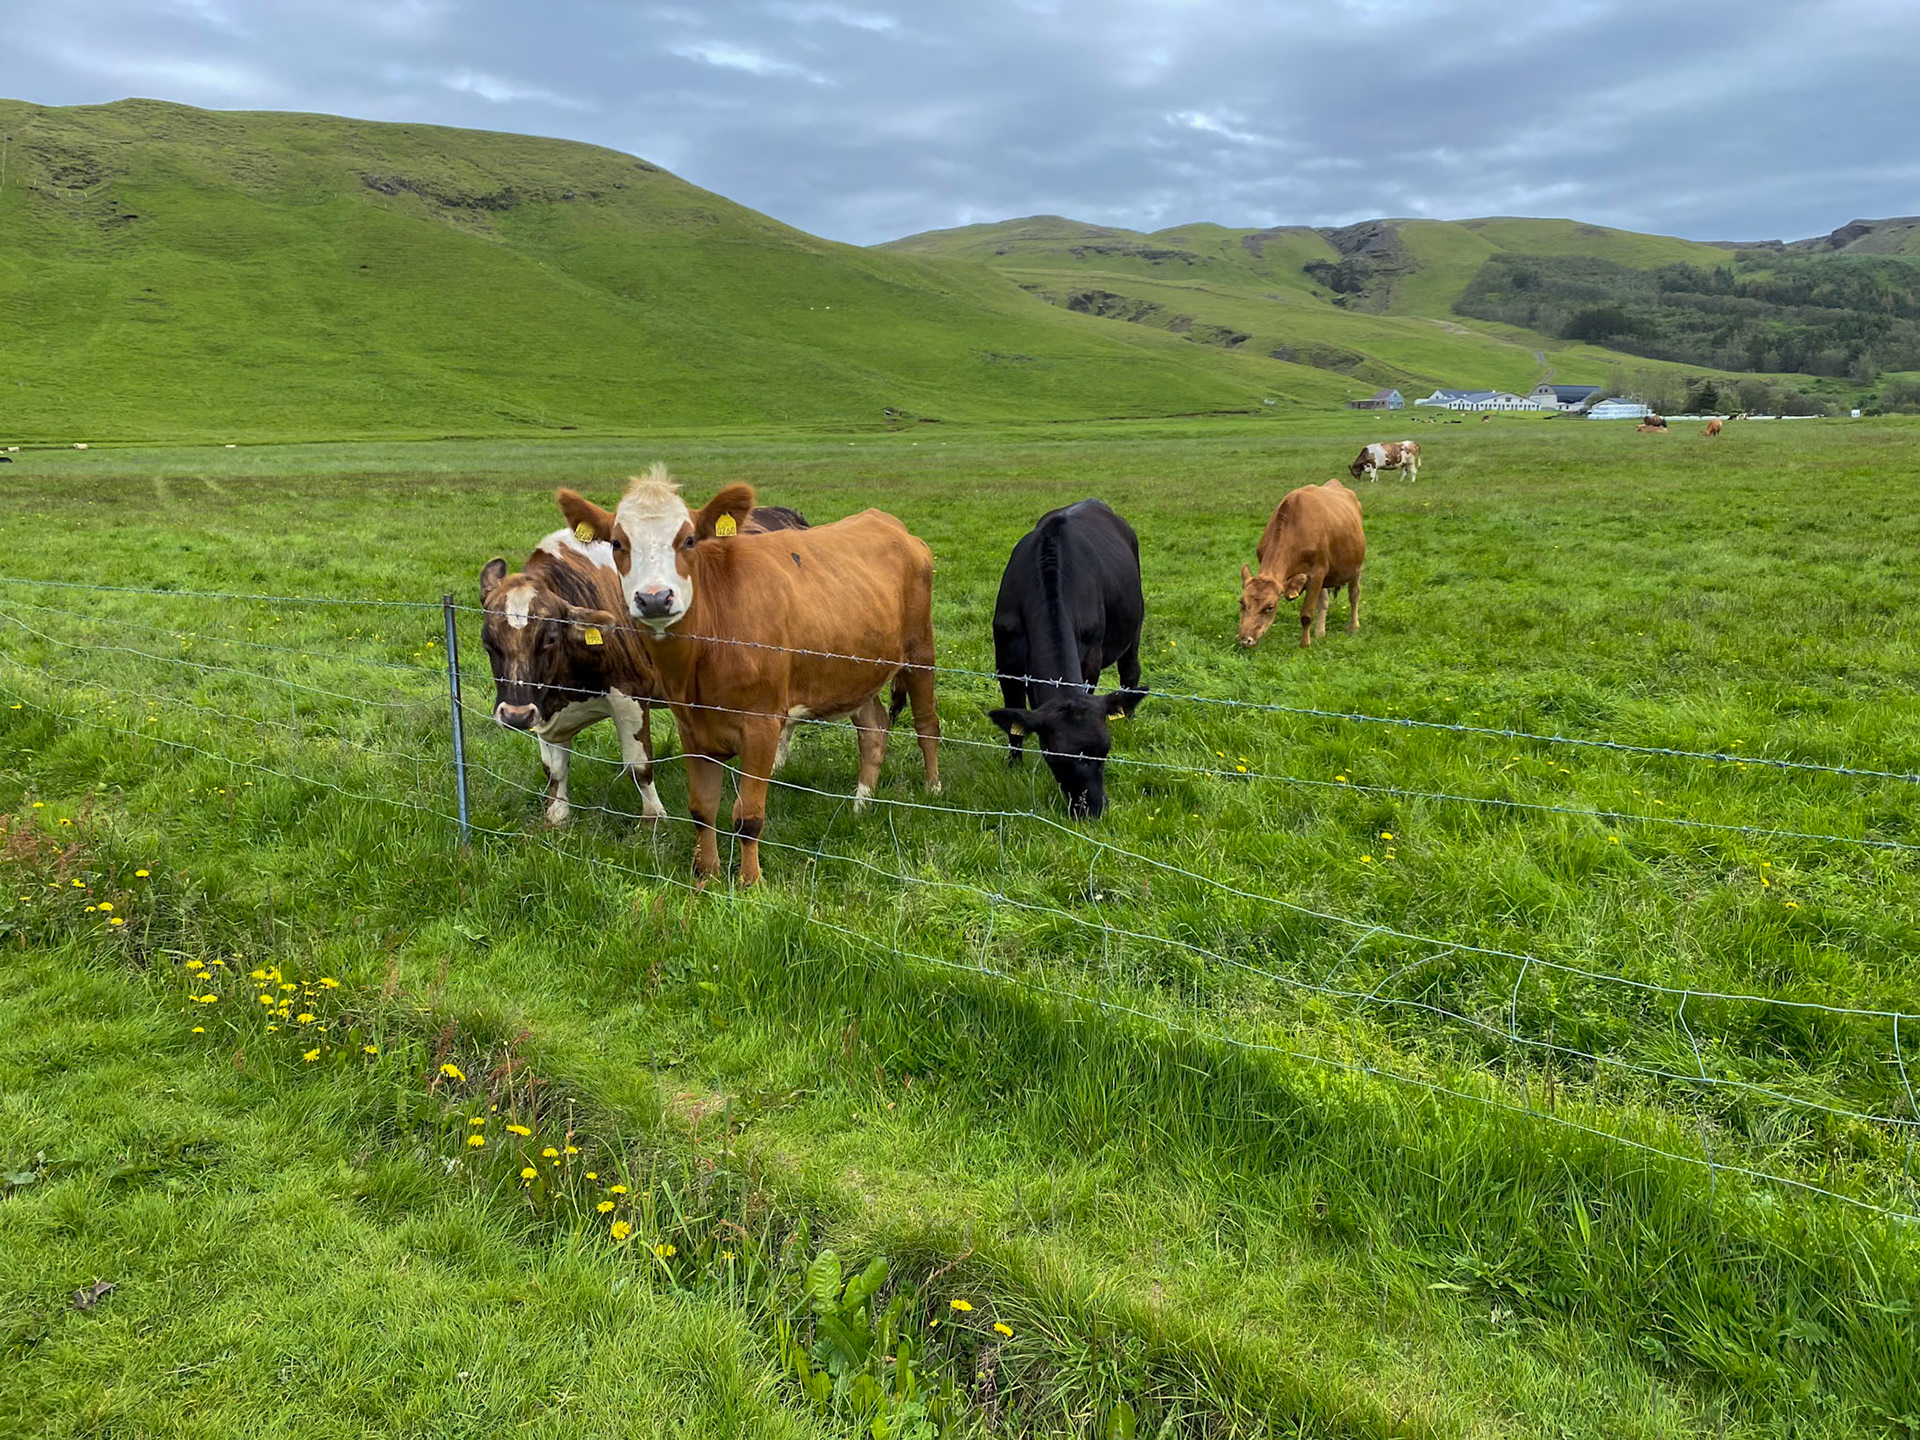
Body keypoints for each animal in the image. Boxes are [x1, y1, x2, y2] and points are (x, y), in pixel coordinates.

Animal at [479, 494, 808, 827]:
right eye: (487, 641)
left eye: (550, 638)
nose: (515, 715)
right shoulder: (545, 707)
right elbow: (554, 770)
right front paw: (557, 815)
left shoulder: (630, 694)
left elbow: (639, 766)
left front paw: (653, 817)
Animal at [558, 466, 939, 885]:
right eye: (617, 543)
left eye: (689, 539)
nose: (655, 598)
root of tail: (884, 520)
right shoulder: (692, 728)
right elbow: (702, 810)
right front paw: (705, 875)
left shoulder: (763, 726)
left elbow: (749, 816)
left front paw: (749, 881)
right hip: (856, 670)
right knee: (873, 728)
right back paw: (861, 803)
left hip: (920, 651)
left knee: (927, 723)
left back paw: (933, 788)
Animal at [986, 499, 1147, 820]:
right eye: (1056, 757)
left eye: (1105, 750)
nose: (1092, 808)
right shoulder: (1006, 661)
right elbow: (1014, 718)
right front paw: (1013, 766)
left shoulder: (1091, 660)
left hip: (1134, 627)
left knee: (1130, 673)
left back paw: (1128, 719)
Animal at [1237, 479, 1366, 650]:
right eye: (1241, 602)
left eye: (1270, 607)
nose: (1245, 639)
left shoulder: (1317, 573)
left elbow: (1306, 614)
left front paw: (1304, 645)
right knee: (1324, 601)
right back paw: (1320, 632)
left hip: (1355, 568)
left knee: (1354, 595)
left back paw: (1353, 627)